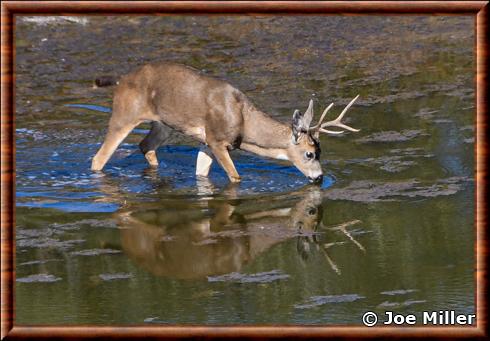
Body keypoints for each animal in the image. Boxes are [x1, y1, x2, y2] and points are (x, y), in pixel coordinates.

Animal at [92, 62, 360, 182]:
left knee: (145, 145)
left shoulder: (206, 143)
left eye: (321, 151)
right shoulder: (217, 139)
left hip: (164, 125)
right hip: (125, 114)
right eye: (309, 154)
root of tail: (122, 79)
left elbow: (201, 174)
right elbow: (235, 177)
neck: (244, 123)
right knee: (99, 158)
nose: (320, 178)